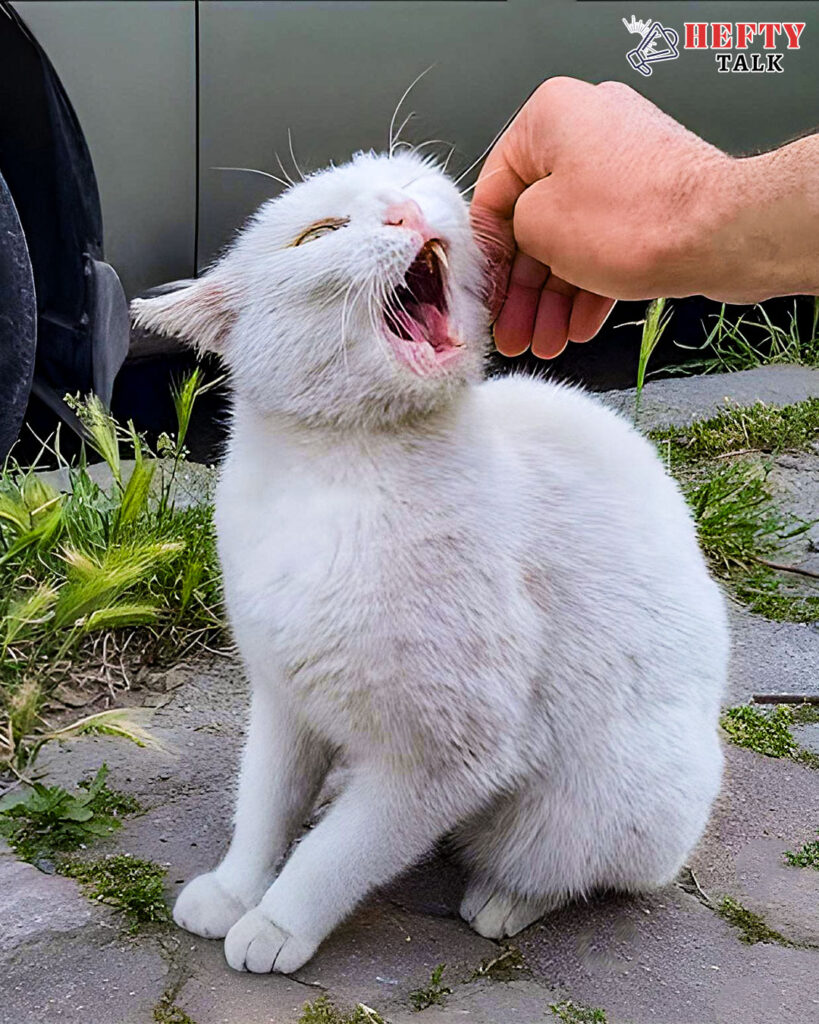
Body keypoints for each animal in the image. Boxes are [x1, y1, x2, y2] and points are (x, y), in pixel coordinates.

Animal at [131, 149, 724, 974]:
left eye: (411, 186)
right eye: (320, 233)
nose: (405, 214)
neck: (332, 476)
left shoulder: (449, 756)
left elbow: (337, 853)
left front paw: (276, 923)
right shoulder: (283, 700)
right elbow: (264, 804)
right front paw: (233, 888)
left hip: (596, 800)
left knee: (573, 868)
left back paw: (501, 899)